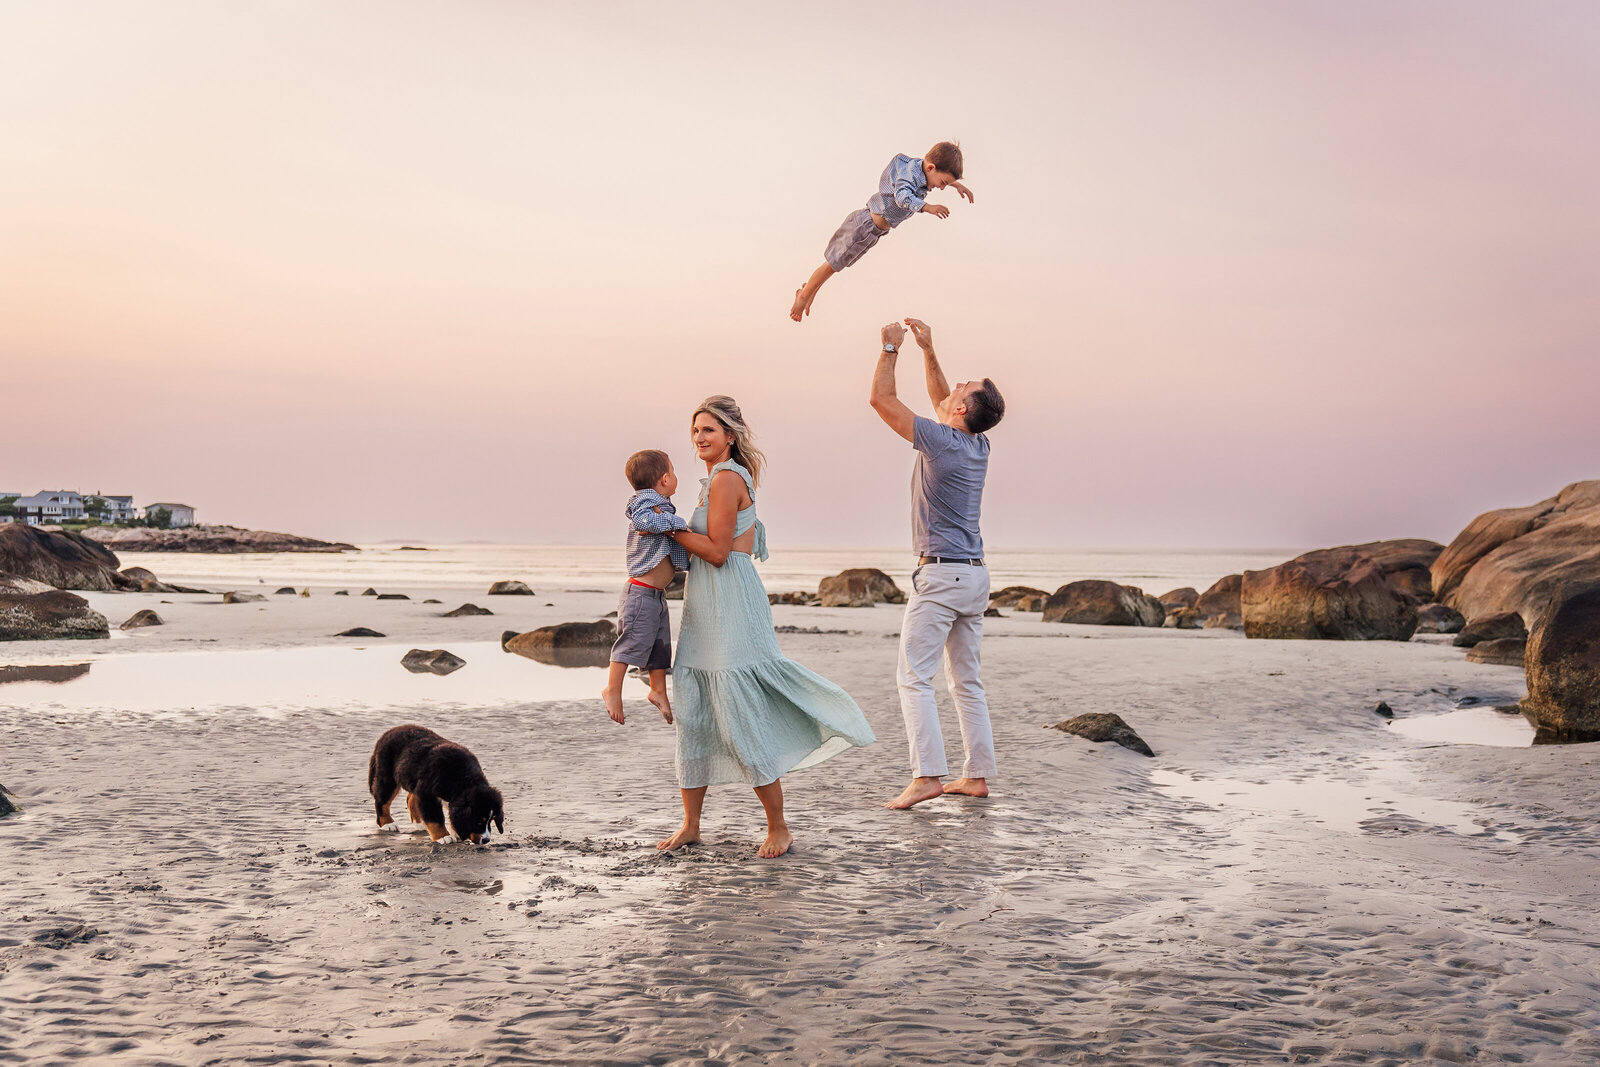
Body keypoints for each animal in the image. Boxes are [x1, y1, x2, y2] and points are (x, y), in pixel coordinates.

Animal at [369, 726, 505, 844]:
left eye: (491, 820)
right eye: (479, 821)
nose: (486, 840)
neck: (462, 778)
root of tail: (389, 732)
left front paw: (455, 832)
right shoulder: (428, 794)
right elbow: (435, 818)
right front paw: (443, 837)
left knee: (411, 798)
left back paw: (419, 823)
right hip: (388, 777)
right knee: (382, 801)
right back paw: (387, 823)